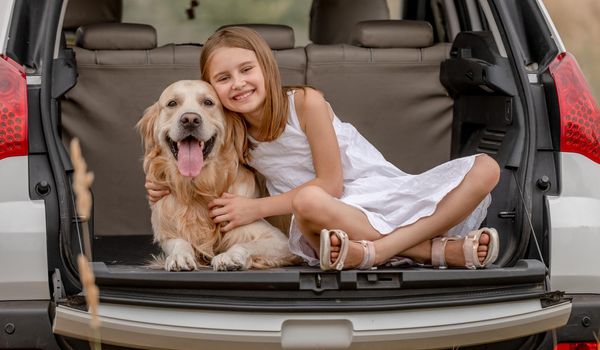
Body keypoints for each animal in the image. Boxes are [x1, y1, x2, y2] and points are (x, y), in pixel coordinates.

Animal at [135, 80, 296, 272]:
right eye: (172, 103)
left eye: (208, 102)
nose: (190, 120)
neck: (199, 188)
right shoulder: (168, 232)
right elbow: (179, 242)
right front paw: (179, 256)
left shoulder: (280, 241)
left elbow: (245, 245)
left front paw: (229, 257)